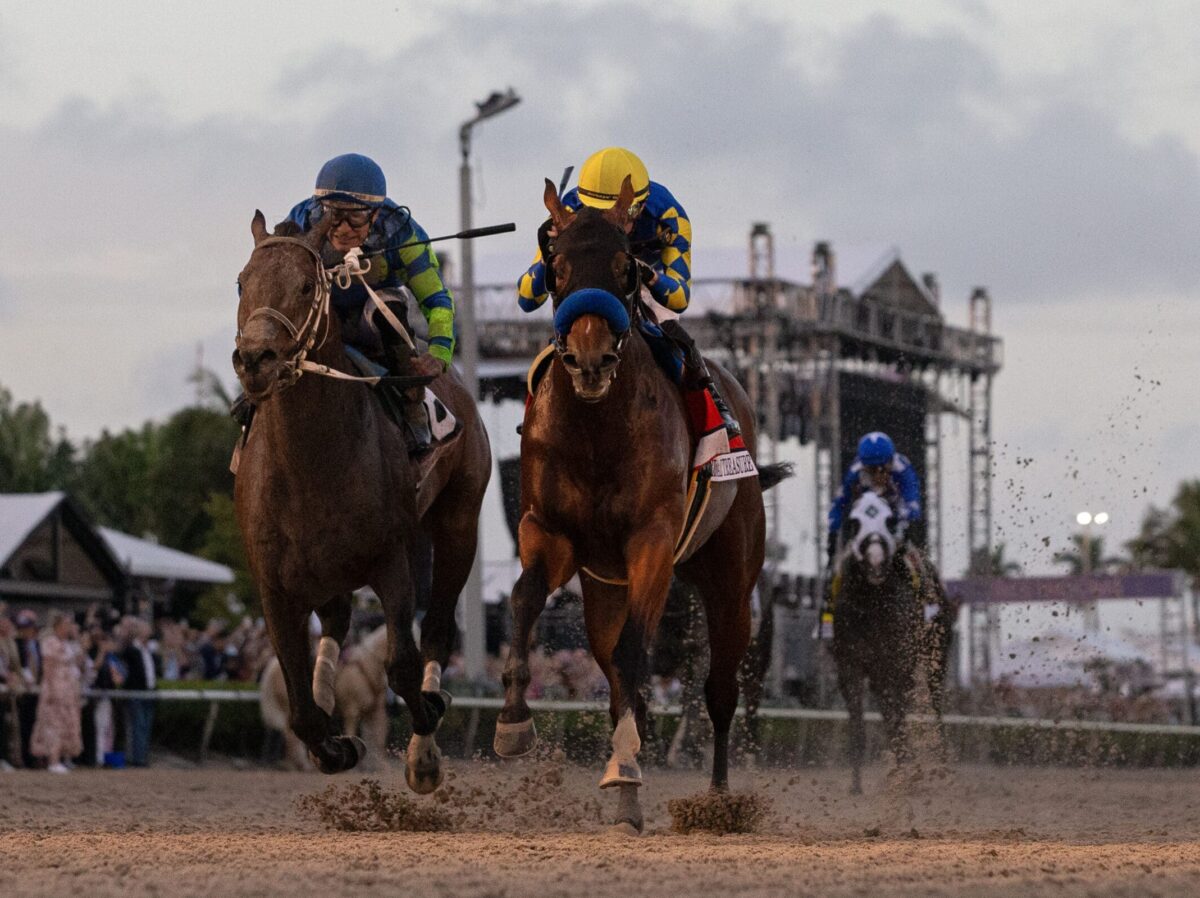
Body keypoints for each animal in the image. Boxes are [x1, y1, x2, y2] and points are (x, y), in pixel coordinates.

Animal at [234, 212, 487, 792]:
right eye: (241, 282)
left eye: (307, 287)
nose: (256, 359)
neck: (312, 462)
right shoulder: (274, 584)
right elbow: (300, 704)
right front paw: (336, 745)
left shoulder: (391, 559)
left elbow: (403, 665)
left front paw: (425, 743)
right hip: (325, 570)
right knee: (336, 621)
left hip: (457, 524)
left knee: (436, 627)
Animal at [494, 177, 787, 835]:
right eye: (557, 267)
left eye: (625, 266)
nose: (590, 359)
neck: (597, 429)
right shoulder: (549, 533)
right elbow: (524, 600)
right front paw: (513, 722)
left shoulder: (651, 539)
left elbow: (636, 654)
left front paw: (625, 765)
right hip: (605, 587)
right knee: (612, 669)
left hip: (732, 585)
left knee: (719, 690)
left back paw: (717, 800)